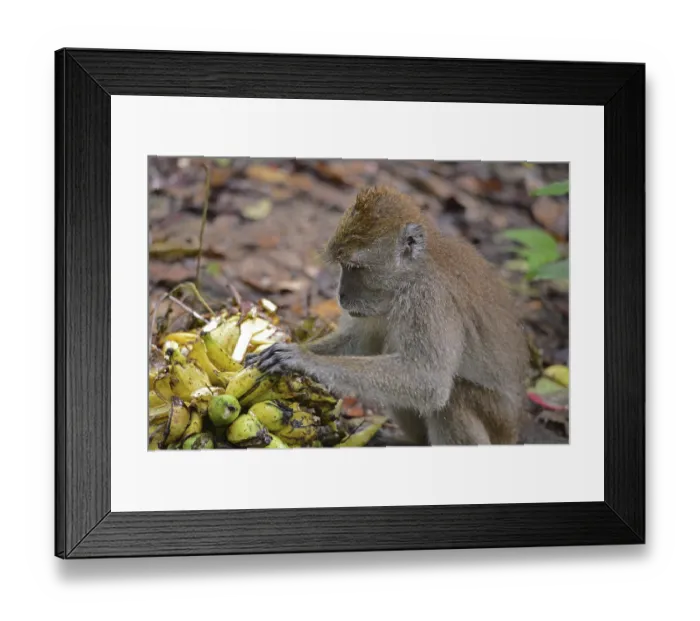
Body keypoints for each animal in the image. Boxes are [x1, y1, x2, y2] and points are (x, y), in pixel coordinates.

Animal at [244, 186, 530, 445]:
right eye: (343, 266)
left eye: (355, 267)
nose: (341, 295)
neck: (412, 273)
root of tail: (514, 430)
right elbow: (362, 343)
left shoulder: (428, 299)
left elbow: (428, 380)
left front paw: (304, 360)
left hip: (498, 421)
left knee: (454, 397)